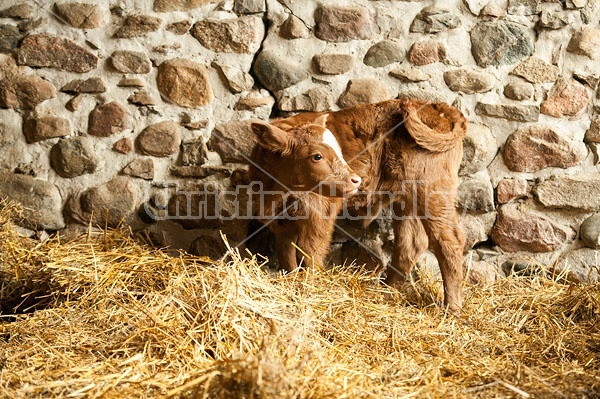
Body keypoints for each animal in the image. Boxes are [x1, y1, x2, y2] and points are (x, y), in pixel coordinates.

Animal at [248, 98, 468, 310]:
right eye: (317, 156)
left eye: (339, 152)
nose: (356, 180)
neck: (279, 195)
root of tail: (439, 107)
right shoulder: (280, 224)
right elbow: (286, 255)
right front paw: (292, 280)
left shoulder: (319, 214)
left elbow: (309, 251)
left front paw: (311, 284)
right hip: (408, 199)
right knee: (410, 243)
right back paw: (387, 291)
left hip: (432, 191)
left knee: (448, 241)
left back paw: (452, 307)